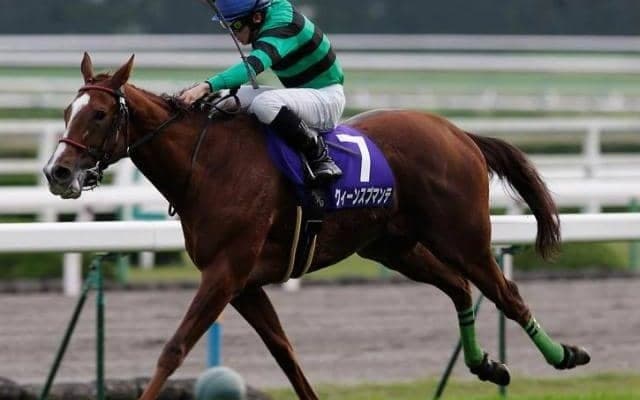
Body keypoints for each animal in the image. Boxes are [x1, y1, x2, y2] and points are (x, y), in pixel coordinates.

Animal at [43, 53, 590, 400]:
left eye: (98, 113)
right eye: (67, 111)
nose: (57, 172)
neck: (208, 166)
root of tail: (459, 132)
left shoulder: (225, 272)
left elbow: (173, 350)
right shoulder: (243, 284)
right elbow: (285, 353)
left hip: (464, 236)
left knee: (506, 294)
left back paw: (565, 354)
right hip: (394, 247)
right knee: (459, 288)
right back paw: (486, 364)